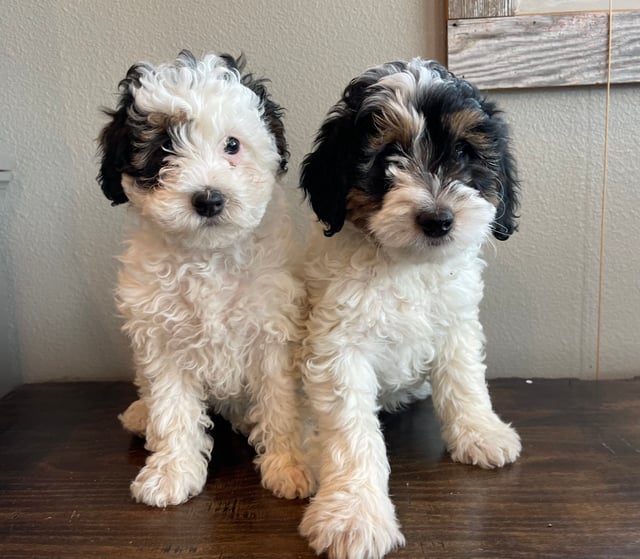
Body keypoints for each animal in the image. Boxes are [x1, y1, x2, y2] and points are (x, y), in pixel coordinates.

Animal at [97, 50, 312, 510]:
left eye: (232, 145)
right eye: (164, 147)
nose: (209, 199)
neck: (207, 257)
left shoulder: (271, 331)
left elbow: (279, 402)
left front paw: (288, 465)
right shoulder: (162, 338)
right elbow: (172, 408)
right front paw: (171, 472)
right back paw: (140, 416)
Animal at [298, 58, 524, 559]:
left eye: (463, 151)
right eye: (388, 157)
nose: (438, 220)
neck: (405, 263)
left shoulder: (456, 323)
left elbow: (464, 382)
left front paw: (480, 433)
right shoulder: (339, 348)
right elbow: (352, 433)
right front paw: (354, 516)